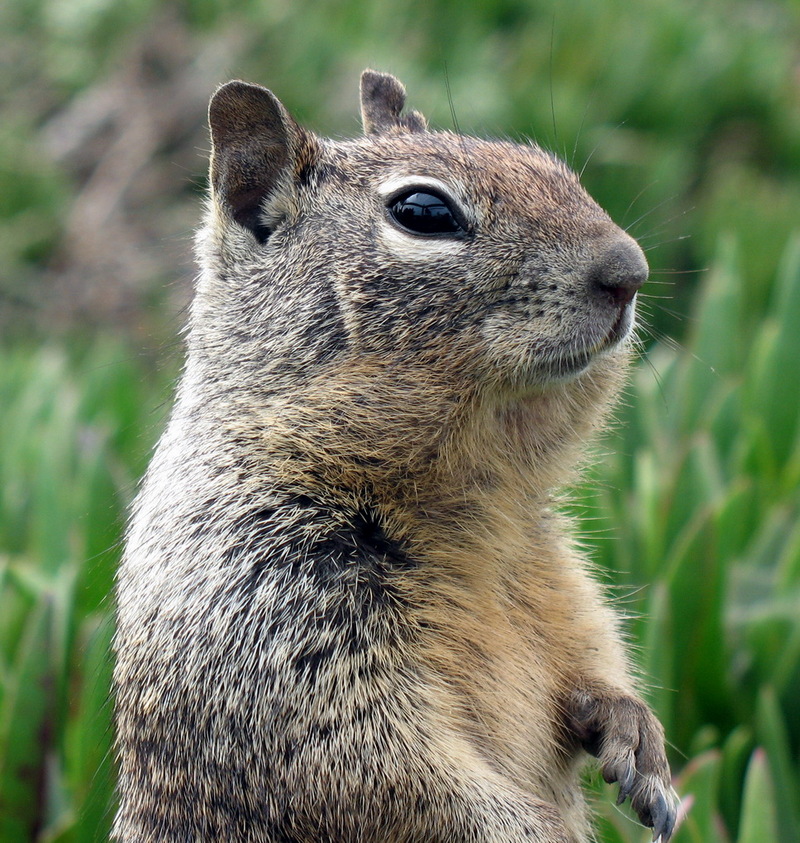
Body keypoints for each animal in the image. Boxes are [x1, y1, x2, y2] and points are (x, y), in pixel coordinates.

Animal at [112, 69, 676, 840]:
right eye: (423, 211)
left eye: (558, 171)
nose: (630, 271)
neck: (476, 495)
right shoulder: (271, 628)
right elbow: (388, 777)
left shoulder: (561, 579)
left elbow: (593, 654)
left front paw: (638, 740)